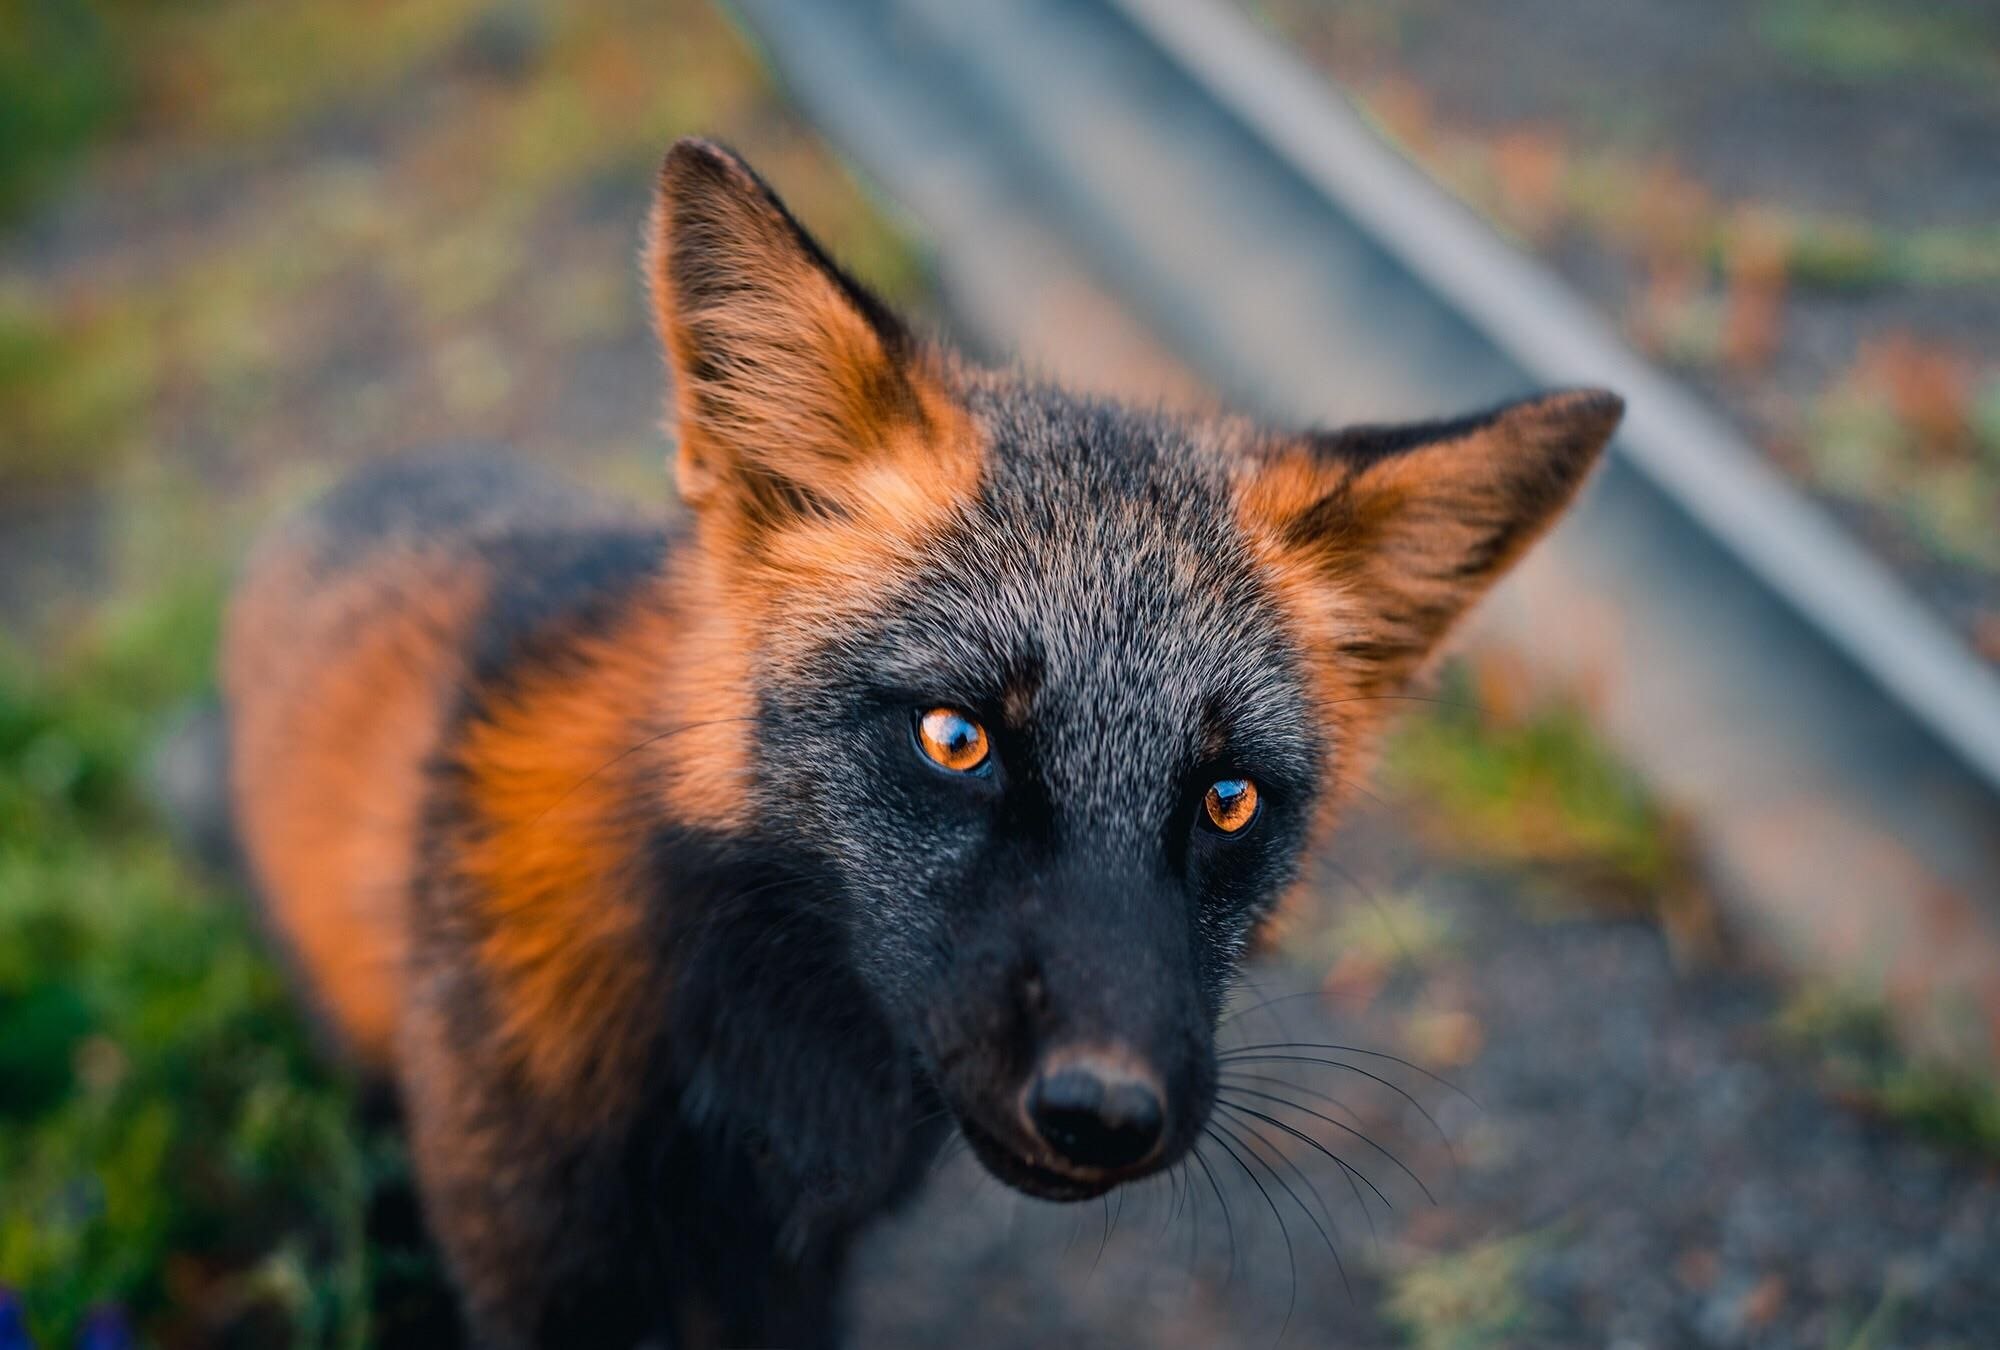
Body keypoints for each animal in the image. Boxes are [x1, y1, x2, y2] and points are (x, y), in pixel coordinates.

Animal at [223, 135, 1624, 1344]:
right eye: (956, 739)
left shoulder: (793, 1277)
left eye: (1227, 799)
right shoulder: (540, 1269)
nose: (1103, 1110)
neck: (759, 1085)